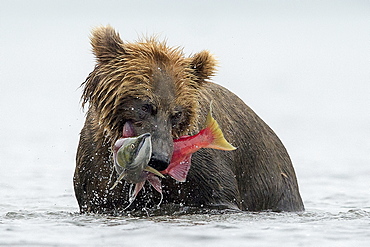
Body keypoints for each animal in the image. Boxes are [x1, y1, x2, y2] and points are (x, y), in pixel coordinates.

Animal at [74, 25, 304, 214]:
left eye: (177, 113)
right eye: (146, 105)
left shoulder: (204, 169)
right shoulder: (97, 167)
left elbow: (217, 194)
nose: (158, 158)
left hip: (275, 183)